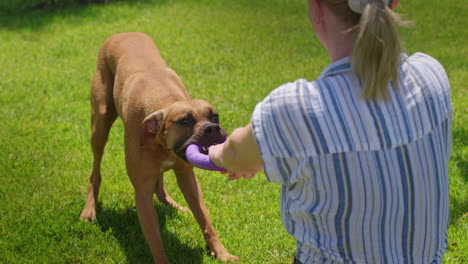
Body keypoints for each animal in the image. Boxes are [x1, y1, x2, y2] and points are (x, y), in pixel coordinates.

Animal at [79, 32, 238, 262]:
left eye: (214, 116)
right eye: (185, 121)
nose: (212, 129)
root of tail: (120, 33)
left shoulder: (187, 177)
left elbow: (205, 220)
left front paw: (221, 253)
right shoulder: (142, 192)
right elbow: (155, 240)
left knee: (160, 186)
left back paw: (176, 206)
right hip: (99, 127)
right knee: (95, 172)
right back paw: (89, 210)